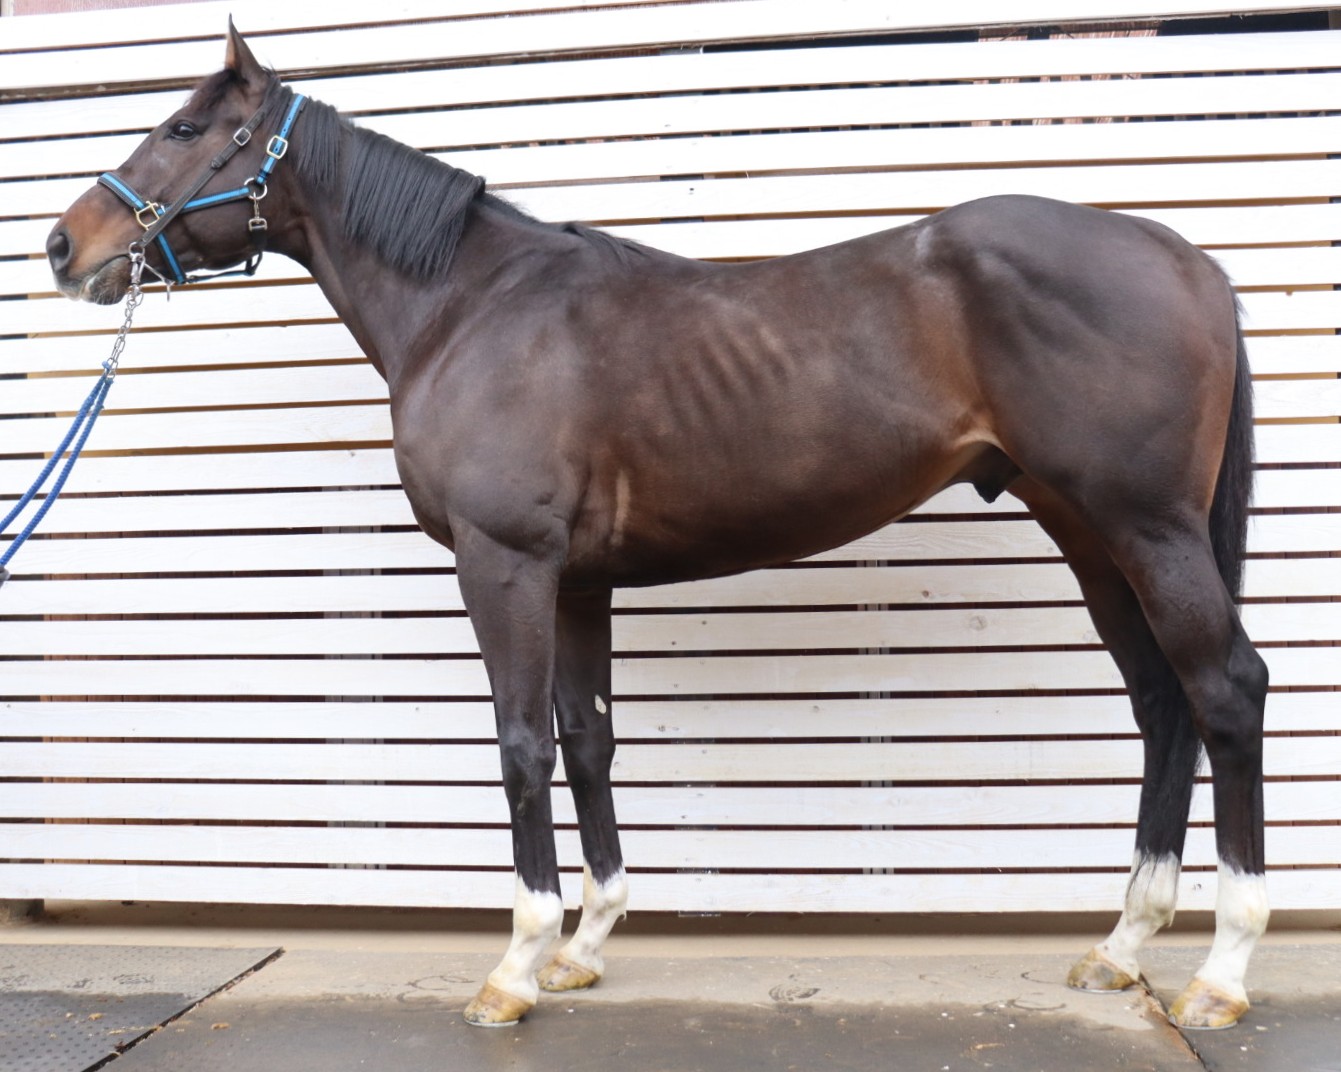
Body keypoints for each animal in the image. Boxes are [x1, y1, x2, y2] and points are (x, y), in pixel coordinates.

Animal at [47, 24, 1268, 1030]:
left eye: (184, 127)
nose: (64, 247)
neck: (473, 308)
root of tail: (1191, 261)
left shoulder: (507, 566)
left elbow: (523, 745)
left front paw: (514, 968)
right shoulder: (578, 580)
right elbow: (588, 740)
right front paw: (584, 947)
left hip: (1145, 527)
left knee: (1223, 691)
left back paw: (1221, 972)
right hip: (1090, 532)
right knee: (1161, 703)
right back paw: (1121, 948)